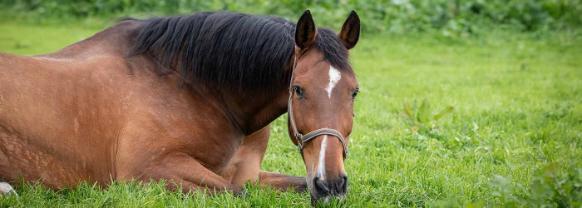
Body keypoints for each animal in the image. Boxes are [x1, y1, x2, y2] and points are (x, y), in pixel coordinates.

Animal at [0, 10, 360, 203]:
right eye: (298, 90)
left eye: (354, 92)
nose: (331, 184)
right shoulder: (148, 170)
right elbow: (237, 194)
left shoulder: (250, 174)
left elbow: (288, 184)